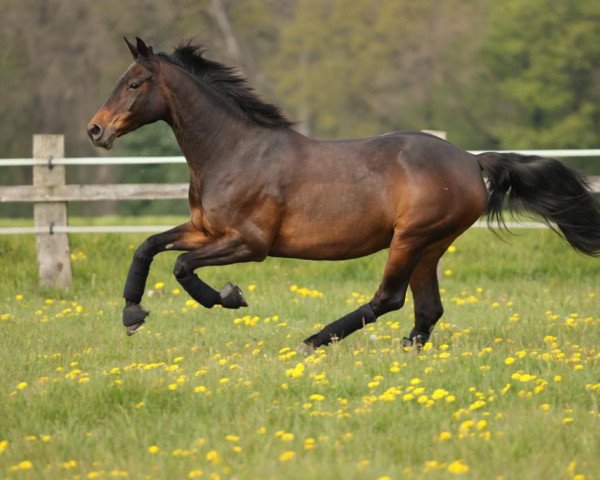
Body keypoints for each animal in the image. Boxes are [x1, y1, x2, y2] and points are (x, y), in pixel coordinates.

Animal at [88, 37, 600, 350]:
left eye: (134, 83)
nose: (95, 130)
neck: (234, 151)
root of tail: (471, 161)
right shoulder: (204, 229)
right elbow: (147, 246)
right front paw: (132, 313)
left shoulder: (250, 244)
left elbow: (180, 266)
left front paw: (229, 297)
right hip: (430, 244)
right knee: (427, 308)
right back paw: (404, 353)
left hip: (412, 237)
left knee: (389, 299)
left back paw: (312, 341)